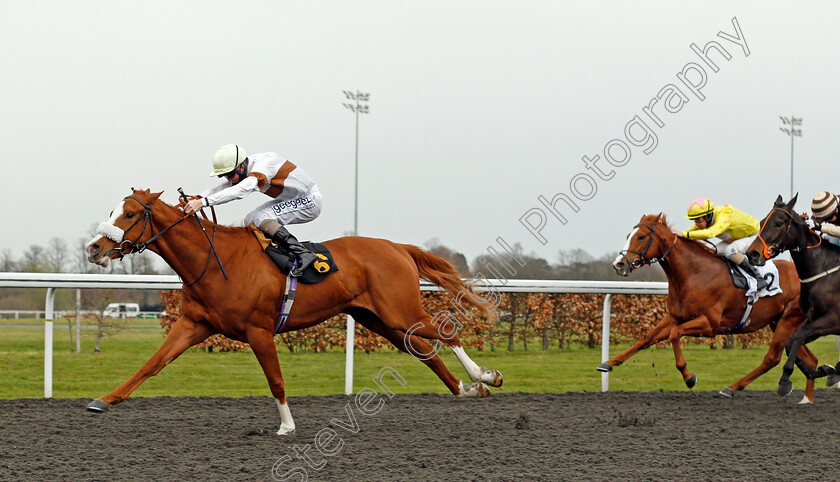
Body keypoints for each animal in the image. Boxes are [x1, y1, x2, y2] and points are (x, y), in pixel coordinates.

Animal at [85, 190, 502, 434]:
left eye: (130, 214)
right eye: (113, 209)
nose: (93, 248)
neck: (216, 262)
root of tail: (397, 246)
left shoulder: (258, 330)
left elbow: (276, 380)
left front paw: (287, 426)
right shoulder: (194, 324)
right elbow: (151, 365)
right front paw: (103, 400)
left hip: (400, 311)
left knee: (446, 333)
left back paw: (485, 376)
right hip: (378, 320)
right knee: (426, 352)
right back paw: (467, 389)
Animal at [608, 214, 816, 400]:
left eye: (641, 237)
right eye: (628, 235)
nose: (618, 264)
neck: (695, 273)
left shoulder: (710, 324)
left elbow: (675, 334)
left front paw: (689, 377)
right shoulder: (674, 317)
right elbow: (646, 339)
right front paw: (609, 363)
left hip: (788, 320)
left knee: (772, 358)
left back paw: (732, 387)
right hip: (780, 322)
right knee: (809, 359)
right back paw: (804, 393)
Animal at [748, 194, 840, 398]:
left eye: (779, 223)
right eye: (761, 223)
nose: (752, 254)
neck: (824, 271)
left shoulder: (834, 319)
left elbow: (799, 336)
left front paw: (784, 379)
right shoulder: (812, 318)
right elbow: (792, 342)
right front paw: (824, 370)